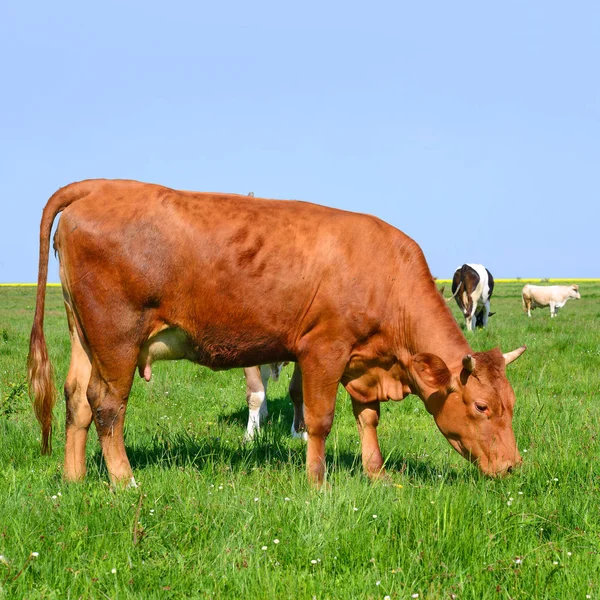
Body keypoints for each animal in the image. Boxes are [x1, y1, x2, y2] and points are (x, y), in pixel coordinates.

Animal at [28, 179, 524, 488]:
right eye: (481, 406)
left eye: (511, 404)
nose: (512, 466)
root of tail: (98, 185)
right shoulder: (324, 349)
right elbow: (320, 420)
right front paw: (318, 483)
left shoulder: (363, 361)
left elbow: (368, 417)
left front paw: (378, 474)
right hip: (117, 338)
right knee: (107, 405)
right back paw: (125, 481)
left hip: (83, 335)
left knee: (76, 399)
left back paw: (74, 478)